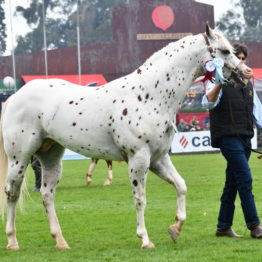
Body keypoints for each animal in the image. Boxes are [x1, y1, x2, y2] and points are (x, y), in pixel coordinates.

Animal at [0, 24, 252, 250]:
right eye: (225, 51)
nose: (246, 74)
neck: (149, 95)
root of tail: (15, 96)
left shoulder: (158, 159)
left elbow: (181, 186)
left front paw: (175, 228)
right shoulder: (139, 158)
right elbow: (140, 199)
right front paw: (145, 239)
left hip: (51, 155)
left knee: (47, 194)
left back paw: (60, 241)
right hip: (20, 159)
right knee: (12, 193)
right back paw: (12, 241)